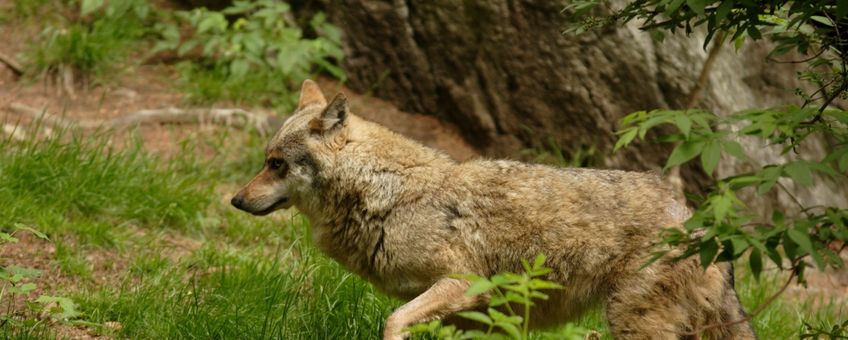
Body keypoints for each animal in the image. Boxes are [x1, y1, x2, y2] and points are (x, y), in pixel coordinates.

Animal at [232, 80, 756, 340]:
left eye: (276, 164)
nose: (236, 200)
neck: (389, 196)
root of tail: (697, 217)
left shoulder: (461, 284)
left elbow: (392, 323)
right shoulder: (467, 319)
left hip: (633, 324)